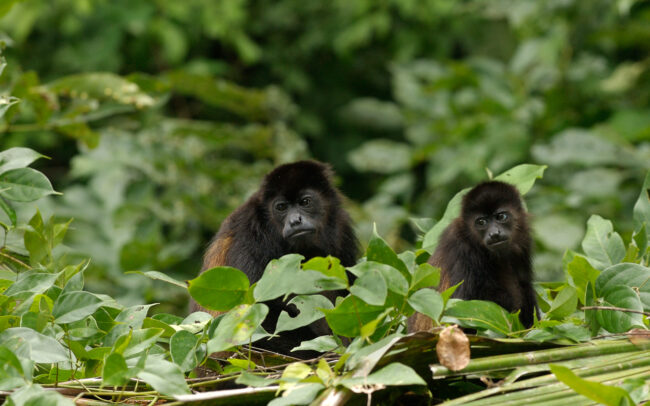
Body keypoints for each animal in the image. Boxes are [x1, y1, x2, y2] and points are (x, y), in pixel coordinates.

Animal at [409, 181, 539, 332]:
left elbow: (525, 284)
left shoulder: (524, 240)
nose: (494, 234)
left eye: (501, 217)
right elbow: (460, 304)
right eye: (481, 222)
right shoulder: (462, 249)